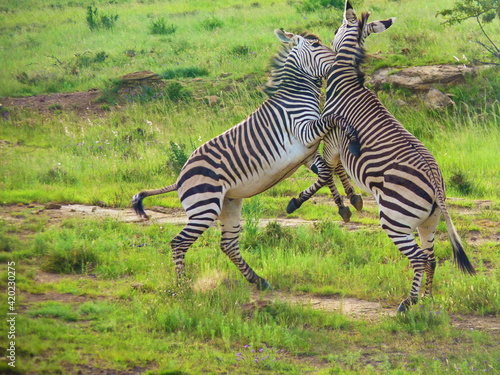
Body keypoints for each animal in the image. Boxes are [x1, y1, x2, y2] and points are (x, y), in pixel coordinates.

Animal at [133, 30, 358, 292]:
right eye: (315, 44)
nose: (343, 63)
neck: (298, 95)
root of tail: (179, 178)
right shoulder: (304, 131)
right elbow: (335, 120)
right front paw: (352, 135)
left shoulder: (307, 152)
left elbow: (327, 171)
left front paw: (345, 203)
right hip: (204, 206)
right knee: (179, 242)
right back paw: (183, 288)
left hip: (228, 204)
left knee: (228, 244)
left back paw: (258, 280)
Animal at [288, 0, 474, 312]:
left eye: (335, 30)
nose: (324, 42)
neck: (348, 84)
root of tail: (436, 182)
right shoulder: (337, 144)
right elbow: (334, 170)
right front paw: (351, 200)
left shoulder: (334, 139)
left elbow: (327, 171)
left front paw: (303, 201)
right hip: (429, 221)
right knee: (431, 257)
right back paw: (427, 300)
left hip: (395, 217)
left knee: (419, 258)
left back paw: (408, 303)